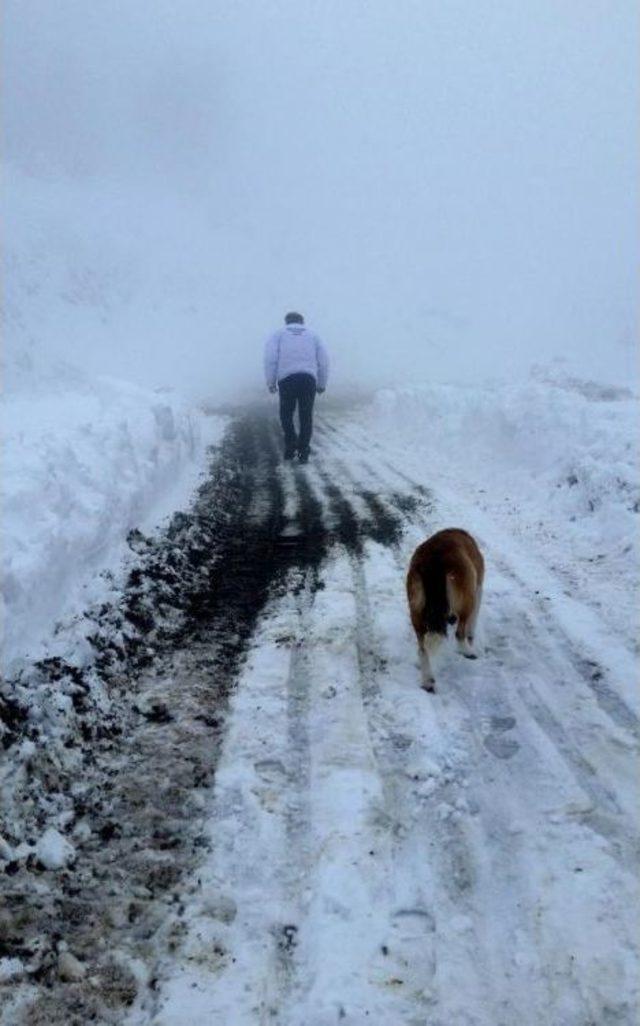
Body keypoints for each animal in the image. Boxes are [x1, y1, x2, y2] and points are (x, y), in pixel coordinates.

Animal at [408, 529, 482, 689]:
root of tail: (433, 562)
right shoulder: (478, 590)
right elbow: (472, 622)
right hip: (467, 600)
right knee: (460, 633)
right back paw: (467, 651)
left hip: (415, 611)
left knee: (422, 649)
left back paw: (427, 680)